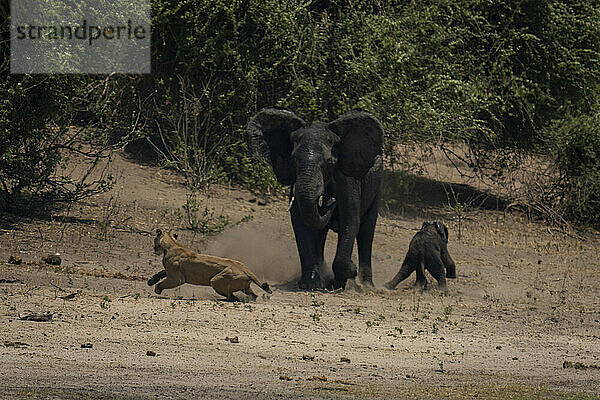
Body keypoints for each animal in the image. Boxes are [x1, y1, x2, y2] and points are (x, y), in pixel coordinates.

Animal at [245, 108, 382, 290]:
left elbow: (350, 221)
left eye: (329, 162)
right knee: (321, 232)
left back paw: (367, 286)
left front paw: (344, 277)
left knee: (366, 233)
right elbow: (300, 223)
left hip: (377, 188)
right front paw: (311, 284)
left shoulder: (347, 178)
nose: (329, 201)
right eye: (293, 160)